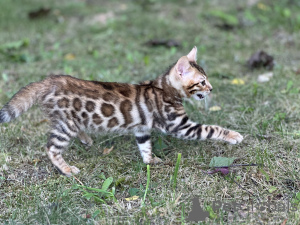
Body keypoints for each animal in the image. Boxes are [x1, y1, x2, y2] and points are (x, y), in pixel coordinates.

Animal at [0, 46, 243, 177]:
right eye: (202, 81)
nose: (211, 88)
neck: (162, 88)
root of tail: (48, 80)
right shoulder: (179, 126)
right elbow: (210, 129)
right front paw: (232, 135)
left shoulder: (142, 128)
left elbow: (145, 146)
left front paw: (150, 160)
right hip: (65, 125)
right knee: (51, 148)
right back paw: (67, 169)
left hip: (66, 122)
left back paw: (86, 138)